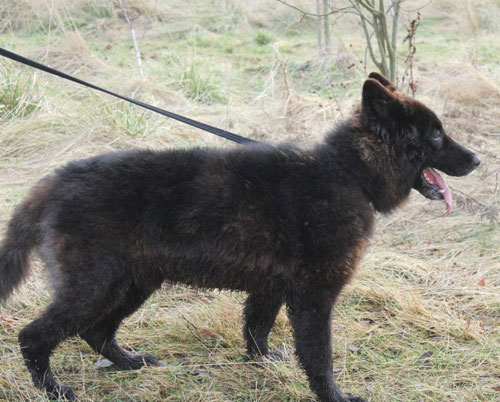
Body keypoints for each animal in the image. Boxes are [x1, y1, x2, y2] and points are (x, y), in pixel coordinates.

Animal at [1, 74, 482, 400]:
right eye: (435, 134)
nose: (478, 160)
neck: (347, 173)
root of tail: (53, 183)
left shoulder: (271, 287)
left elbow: (256, 327)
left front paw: (261, 362)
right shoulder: (314, 296)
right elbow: (319, 358)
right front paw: (335, 397)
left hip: (132, 283)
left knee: (96, 330)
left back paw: (128, 362)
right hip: (98, 285)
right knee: (35, 336)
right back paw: (54, 389)